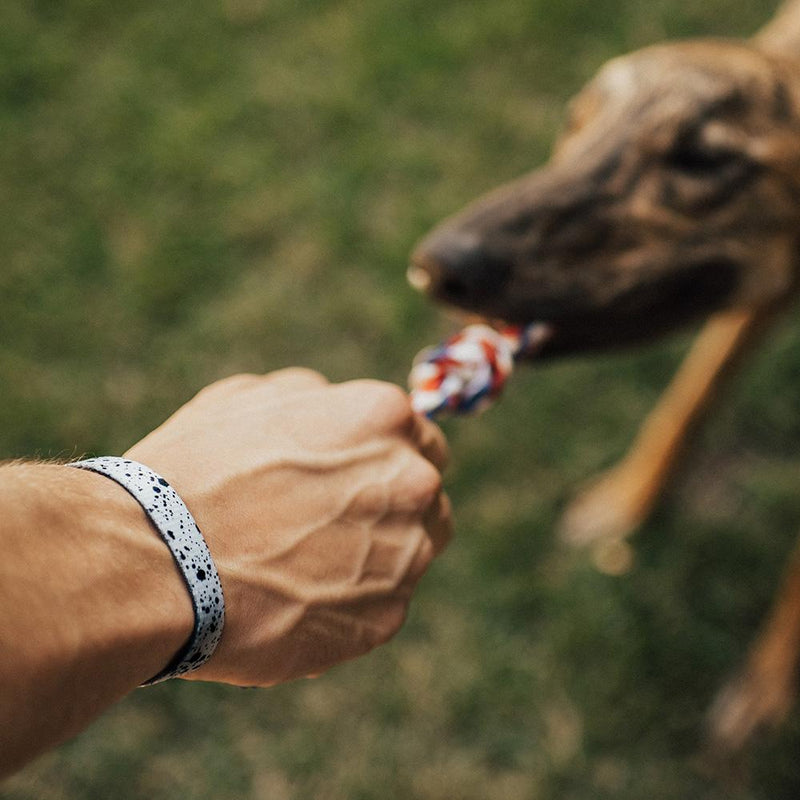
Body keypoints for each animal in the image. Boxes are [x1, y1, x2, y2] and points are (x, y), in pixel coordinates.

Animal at [410, 0, 800, 756]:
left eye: (703, 157)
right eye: (576, 119)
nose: (436, 267)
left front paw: (768, 689)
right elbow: (688, 400)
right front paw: (627, 501)